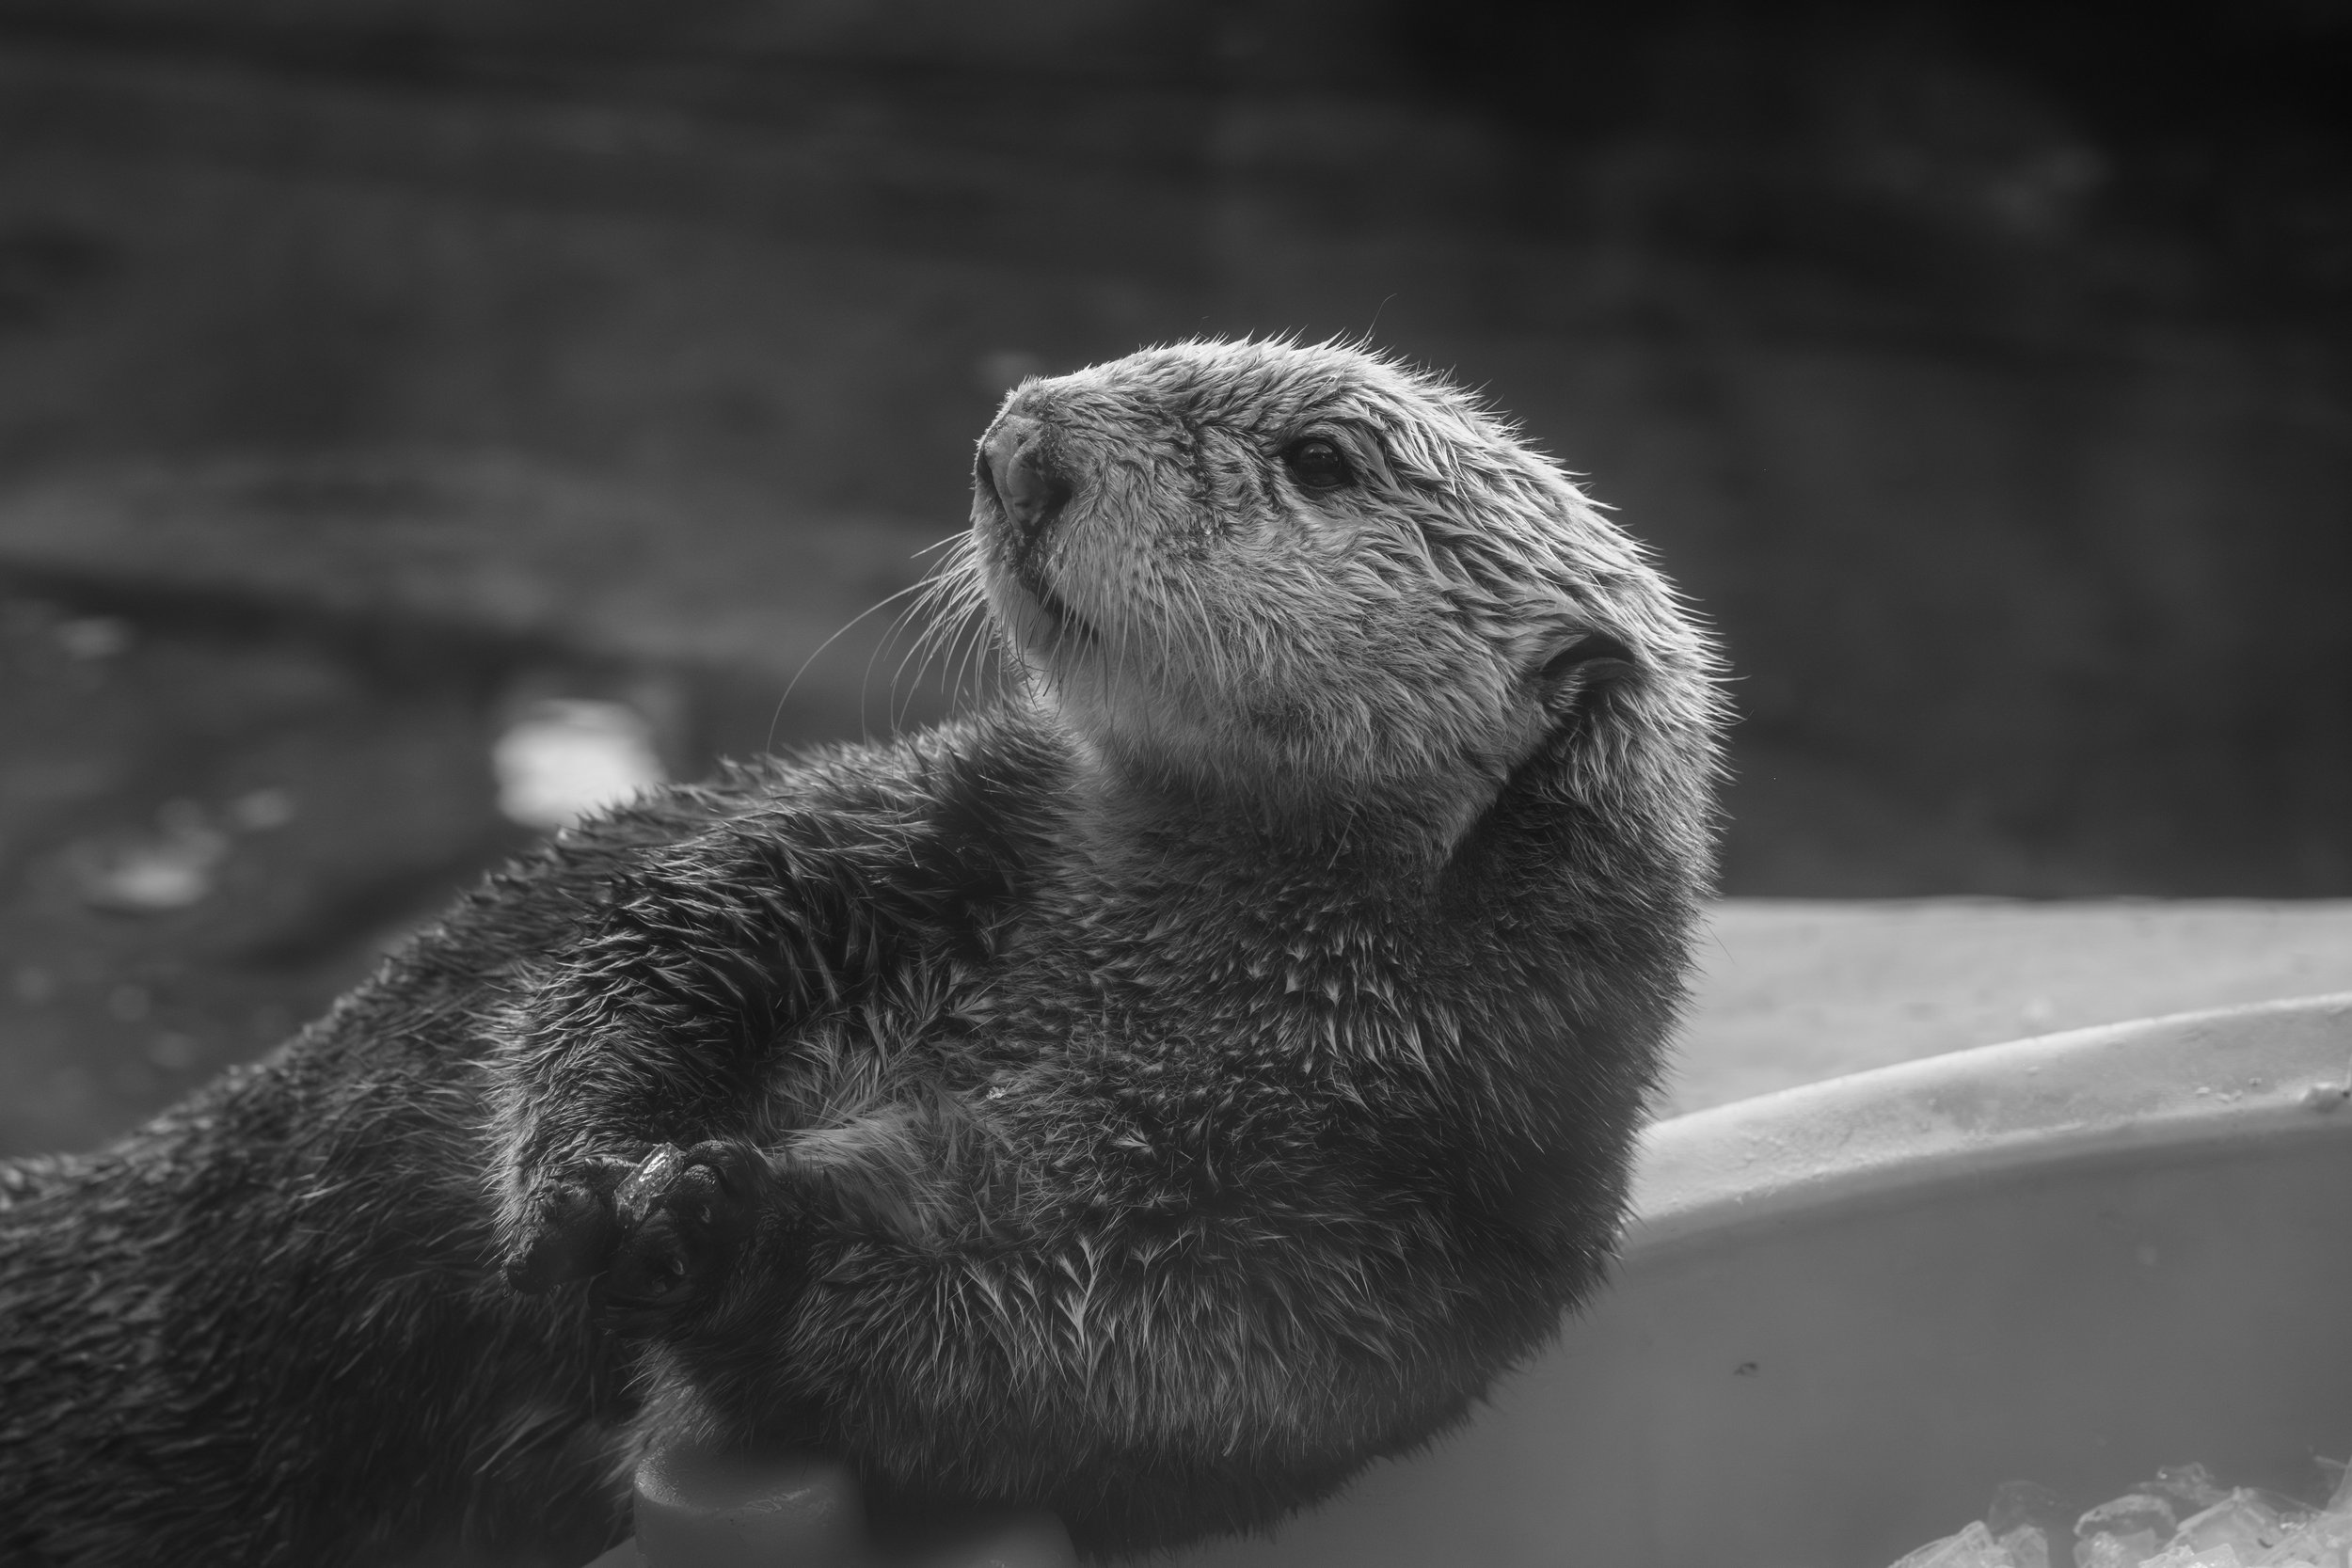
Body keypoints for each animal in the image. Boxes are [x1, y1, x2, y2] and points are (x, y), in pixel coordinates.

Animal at [0, 339, 1723, 1566]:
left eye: (1319, 459)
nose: (1019, 441)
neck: (1146, 969)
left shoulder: (1396, 1228)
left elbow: (1098, 1361)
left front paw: (726, 1227)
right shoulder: (931, 818)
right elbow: (657, 935)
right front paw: (589, 1177)